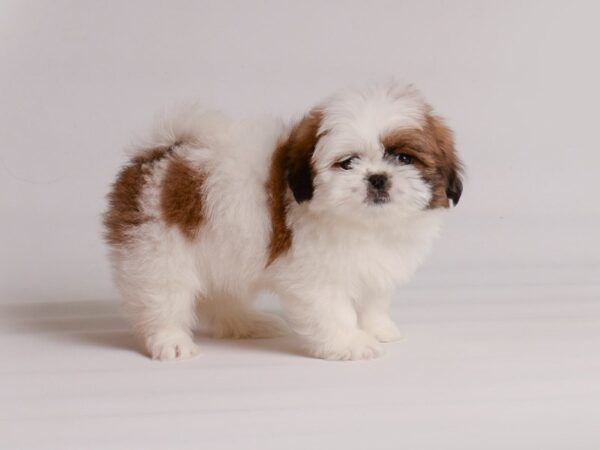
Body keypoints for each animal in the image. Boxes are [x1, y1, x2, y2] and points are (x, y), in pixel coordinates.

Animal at [104, 81, 464, 362]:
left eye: (404, 158)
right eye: (348, 162)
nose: (377, 177)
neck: (366, 224)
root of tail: (159, 153)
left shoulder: (375, 265)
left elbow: (373, 300)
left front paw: (377, 328)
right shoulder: (315, 274)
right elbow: (333, 309)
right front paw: (349, 343)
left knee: (220, 295)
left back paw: (247, 323)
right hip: (158, 251)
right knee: (163, 298)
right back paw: (171, 340)